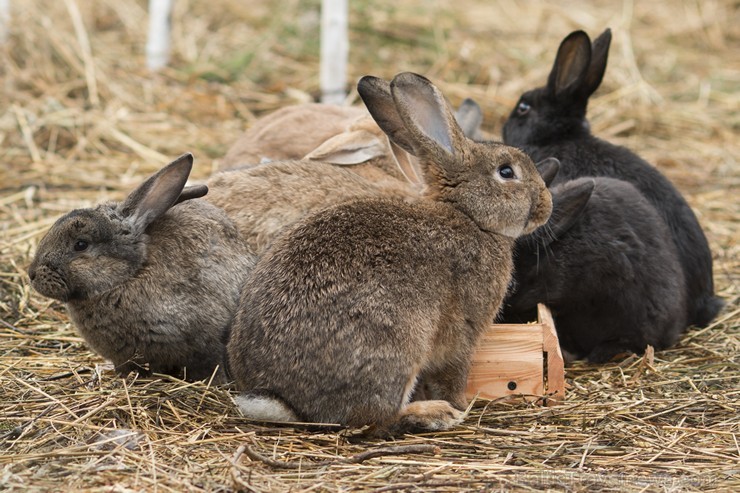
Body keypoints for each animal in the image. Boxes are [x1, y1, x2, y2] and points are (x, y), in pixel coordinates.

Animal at [228, 73, 552, 434]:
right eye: (506, 172)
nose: (547, 204)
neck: (469, 215)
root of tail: (283, 400)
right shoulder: (463, 333)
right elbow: (452, 372)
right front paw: (460, 405)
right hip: (396, 345)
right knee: (374, 419)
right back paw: (435, 414)